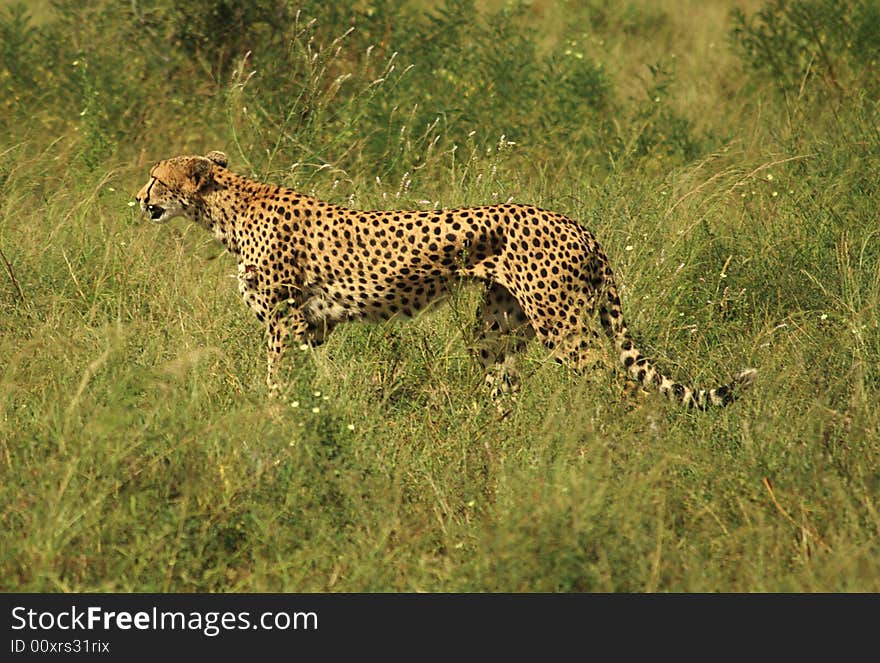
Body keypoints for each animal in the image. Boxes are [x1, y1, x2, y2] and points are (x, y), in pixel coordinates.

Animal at [136, 152, 756, 408]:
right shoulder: (312, 328)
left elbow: (275, 378)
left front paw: (273, 420)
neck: (226, 206)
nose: (137, 199)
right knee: (506, 384)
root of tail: (574, 221)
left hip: (561, 324)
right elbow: (315, 378)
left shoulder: (282, 323)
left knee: (616, 379)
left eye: (155, 178)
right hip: (496, 328)